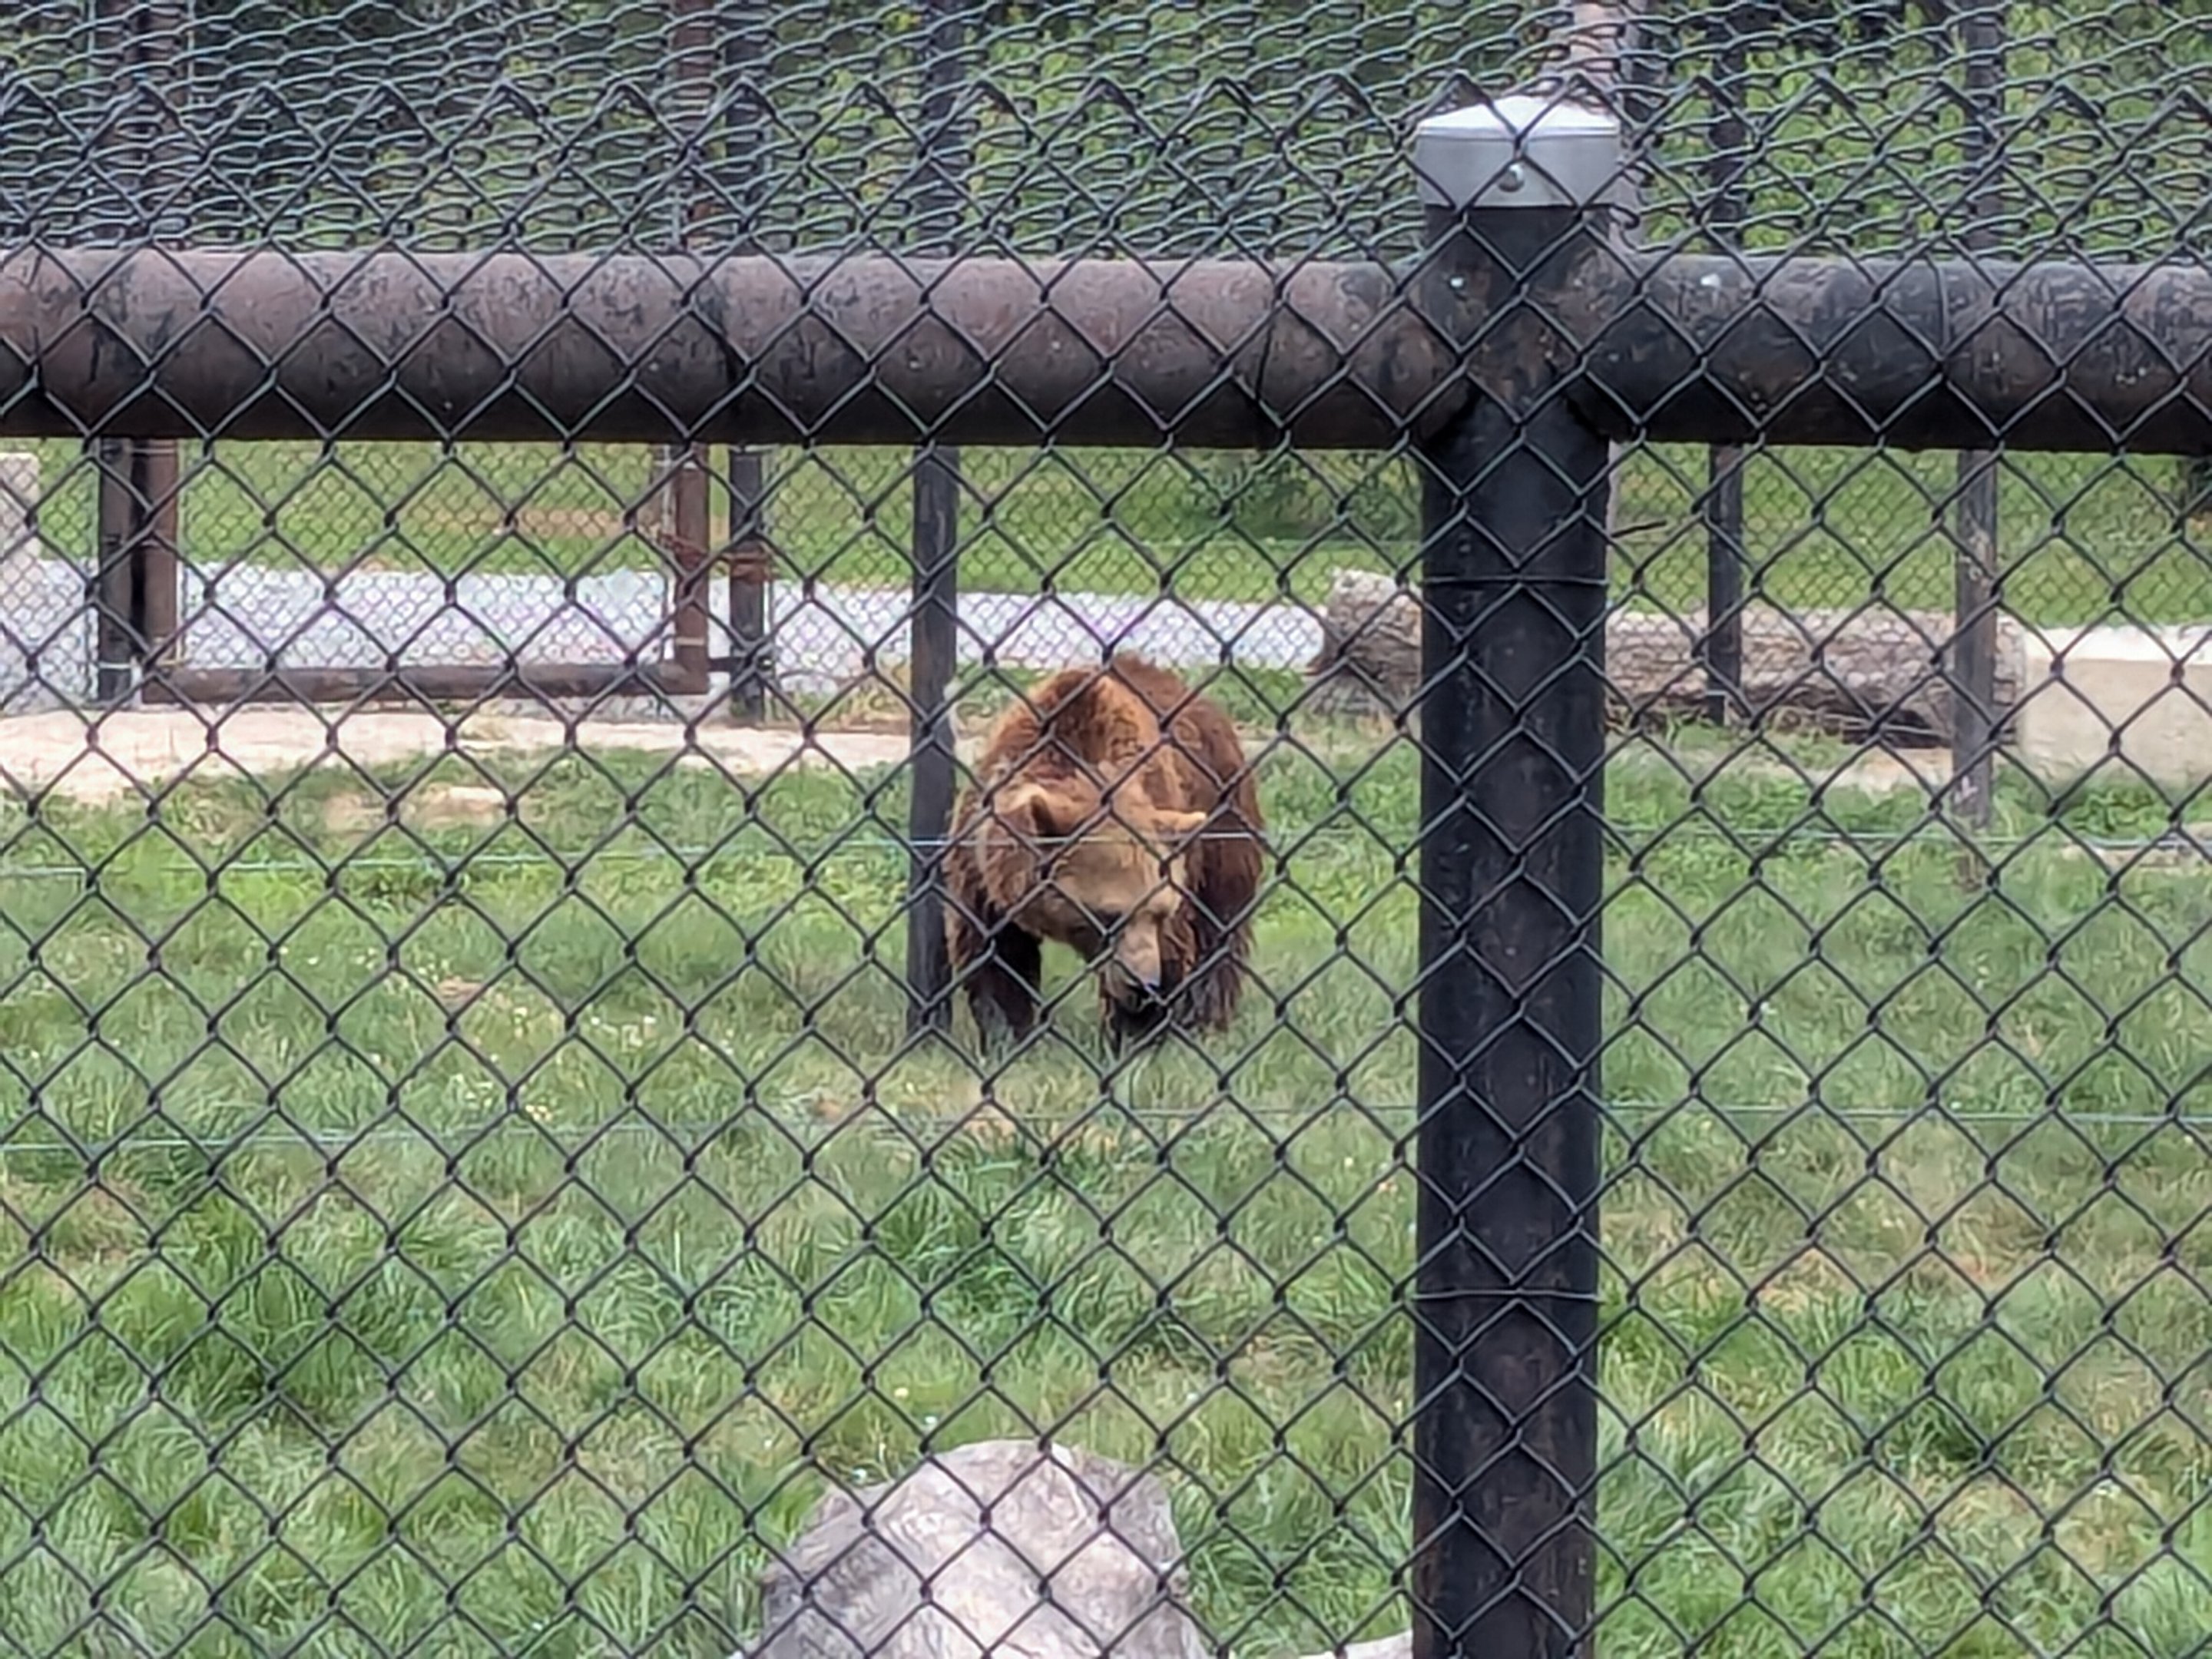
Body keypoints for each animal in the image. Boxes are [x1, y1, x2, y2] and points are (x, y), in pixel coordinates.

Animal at [942, 655, 1266, 1052]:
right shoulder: (983, 864)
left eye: (1159, 912)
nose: (1145, 985)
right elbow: (996, 953)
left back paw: (1206, 1018)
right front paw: (1007, 1034)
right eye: (1108, 914)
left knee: (1219, 925)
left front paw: (1136, 1032)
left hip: (1221, 817)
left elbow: (1176, 944)